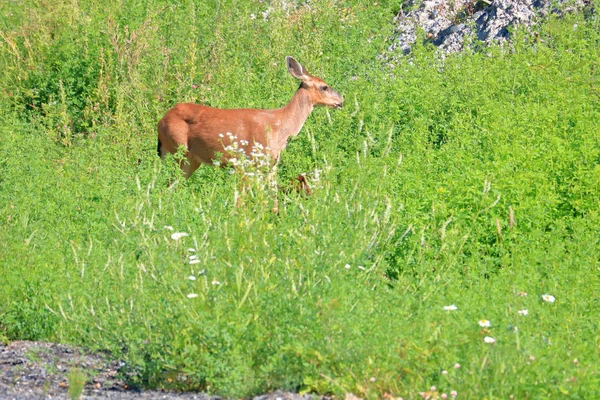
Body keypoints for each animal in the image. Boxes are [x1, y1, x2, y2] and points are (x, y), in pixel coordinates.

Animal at [156, 55, 342, 177]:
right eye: (324, 87)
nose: (341, 100)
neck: (280, 125)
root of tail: (161, 120)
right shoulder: (249, 162)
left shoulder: (271, 163)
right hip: (179, 149)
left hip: (191, 159)